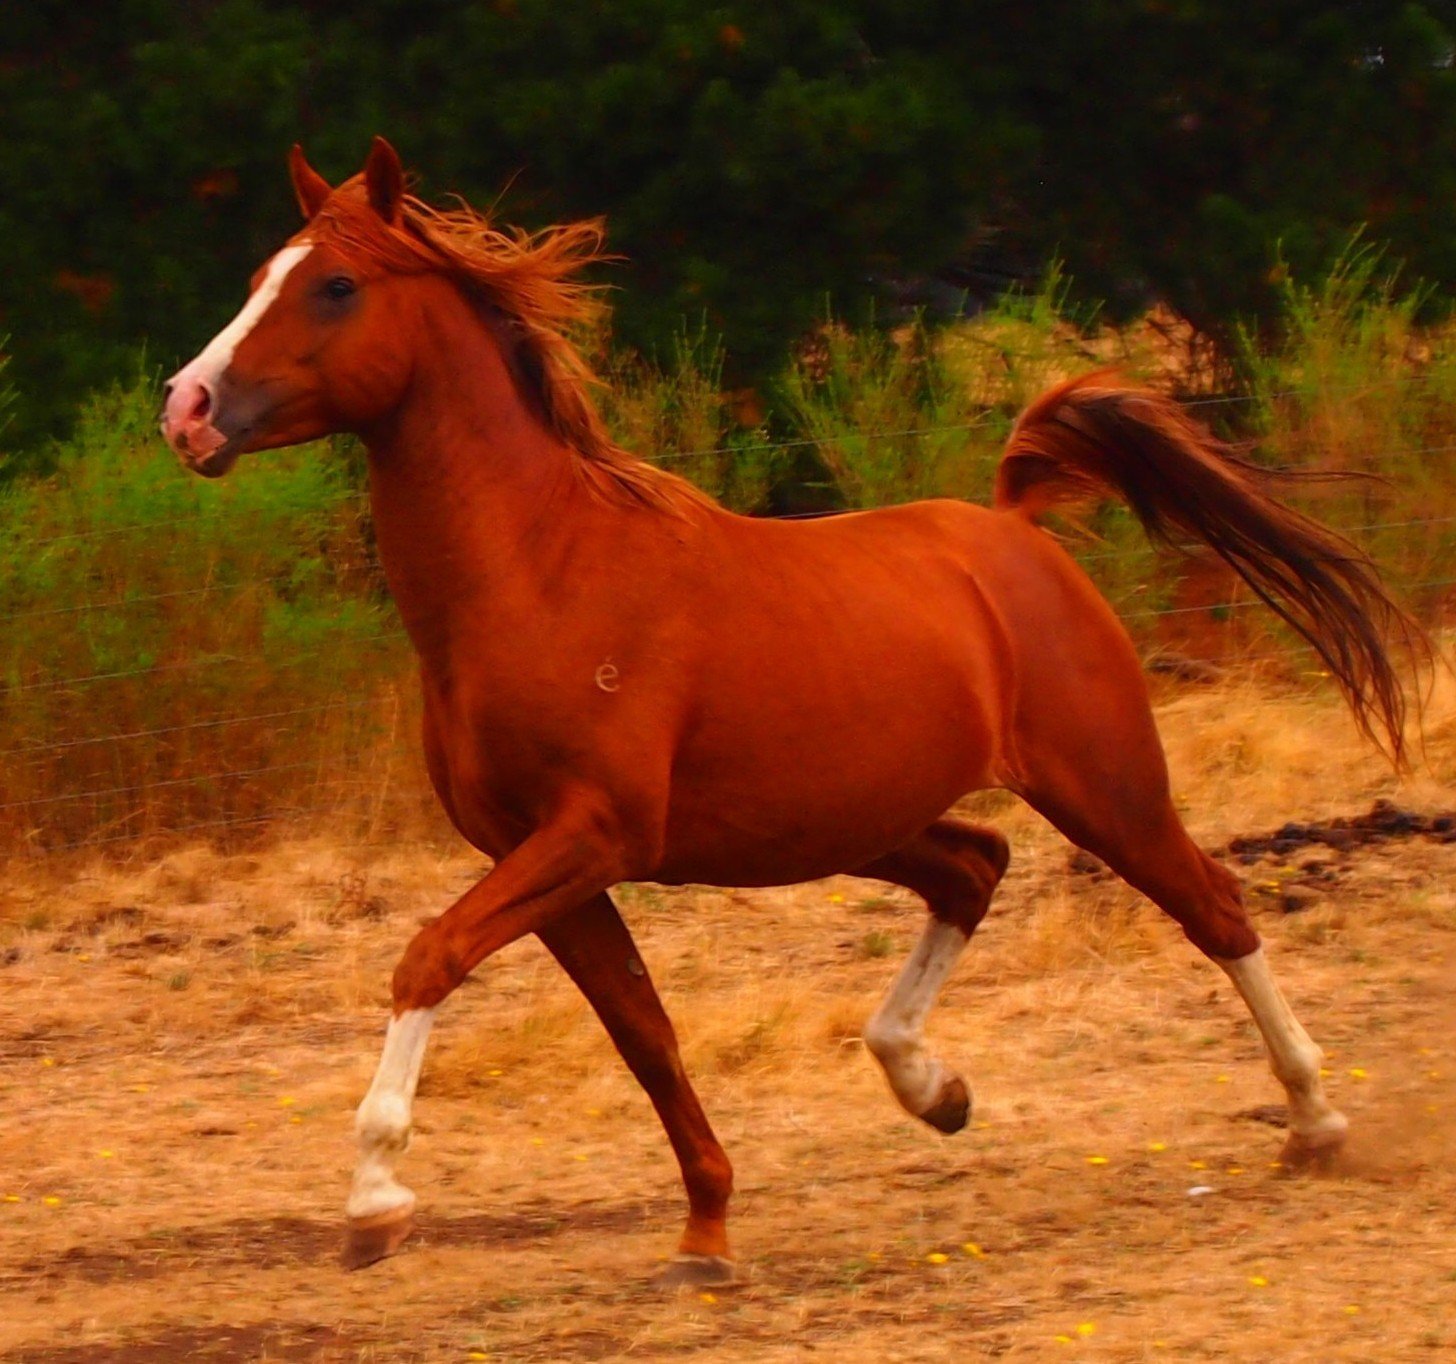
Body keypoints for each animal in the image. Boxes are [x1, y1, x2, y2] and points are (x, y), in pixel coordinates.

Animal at [165, 141, 1415, 1286]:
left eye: (333, 285)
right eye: (262, 274)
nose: (187, 408)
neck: (541, 574)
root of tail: (1013, 526)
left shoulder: (589, 834)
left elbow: (429, 958)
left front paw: (374, 1198)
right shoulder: (544, 858)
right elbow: (643, 1035)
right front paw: (705, 1230)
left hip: (1104, 785)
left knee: (1215, 908)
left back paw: (1314, 1121)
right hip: (858, 818)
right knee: (976, 866)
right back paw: (932, 1085)